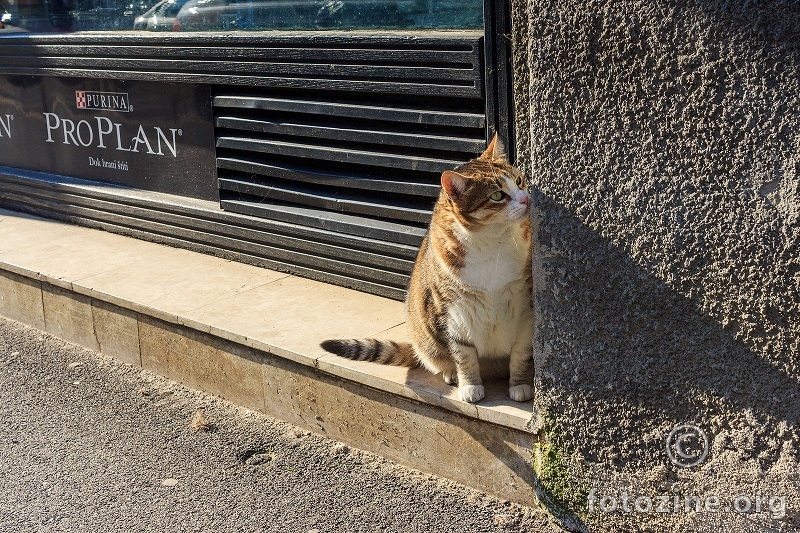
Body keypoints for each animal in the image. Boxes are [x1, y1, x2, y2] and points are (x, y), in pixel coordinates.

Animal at [318, 134, 532, 404]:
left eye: (519, 181)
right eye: (496, 195)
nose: (526, 199)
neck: (493, 243)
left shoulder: (525, 309)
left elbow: (520, 353)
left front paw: (520, 384)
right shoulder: (453, 312)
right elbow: (464, 356)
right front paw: (470, 385)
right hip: (427, 337)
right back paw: (451, 373)